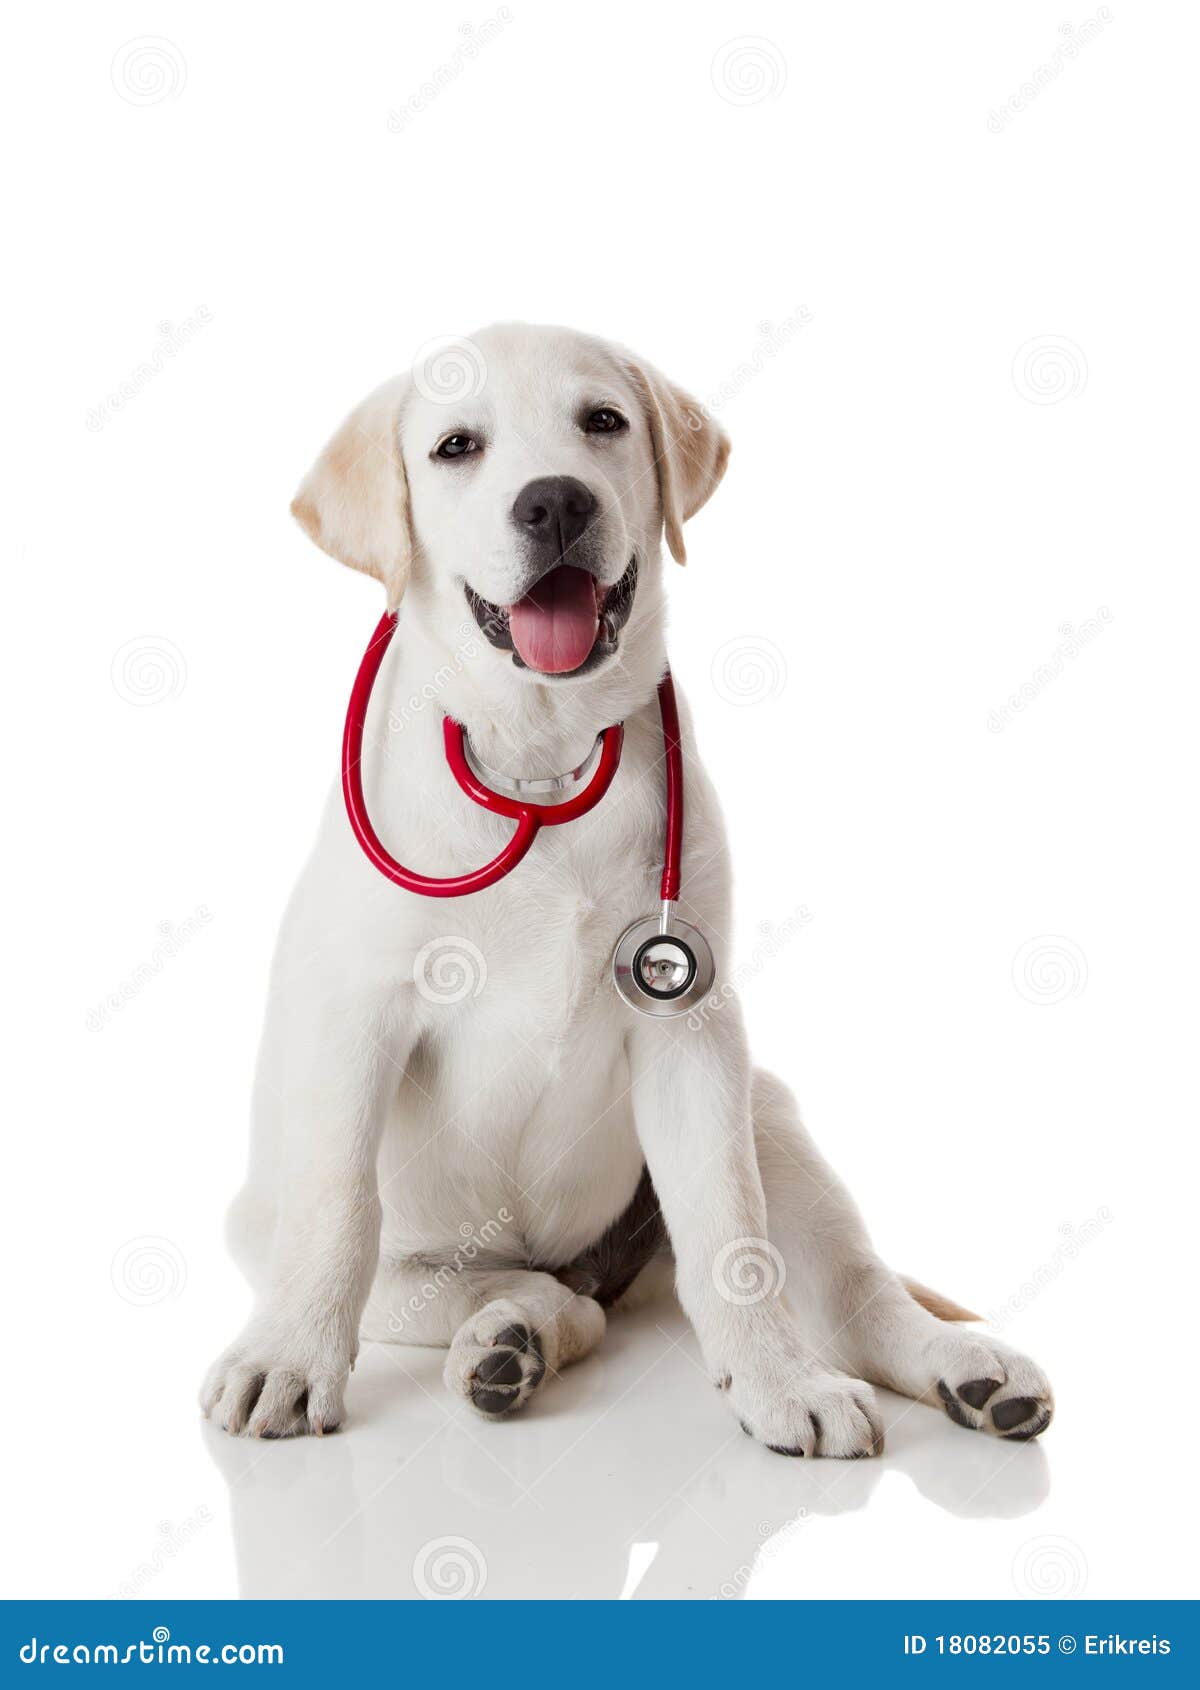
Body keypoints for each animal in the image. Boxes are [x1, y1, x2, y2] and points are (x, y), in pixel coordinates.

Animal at [201, 319, 1054, 1453]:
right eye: (456, 447)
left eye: (602, 421)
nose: (556, 502)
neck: (543, 759)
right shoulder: (355, 1014)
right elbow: (339, 1205)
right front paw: (290, 1360)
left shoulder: (692, 1026)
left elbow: (733, 1235)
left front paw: (779, 1381)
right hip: (336, 1246)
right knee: (529, 1295)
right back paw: (508, 1340)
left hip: (766, 1106)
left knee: (845, 1288)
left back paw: (964, 1369)